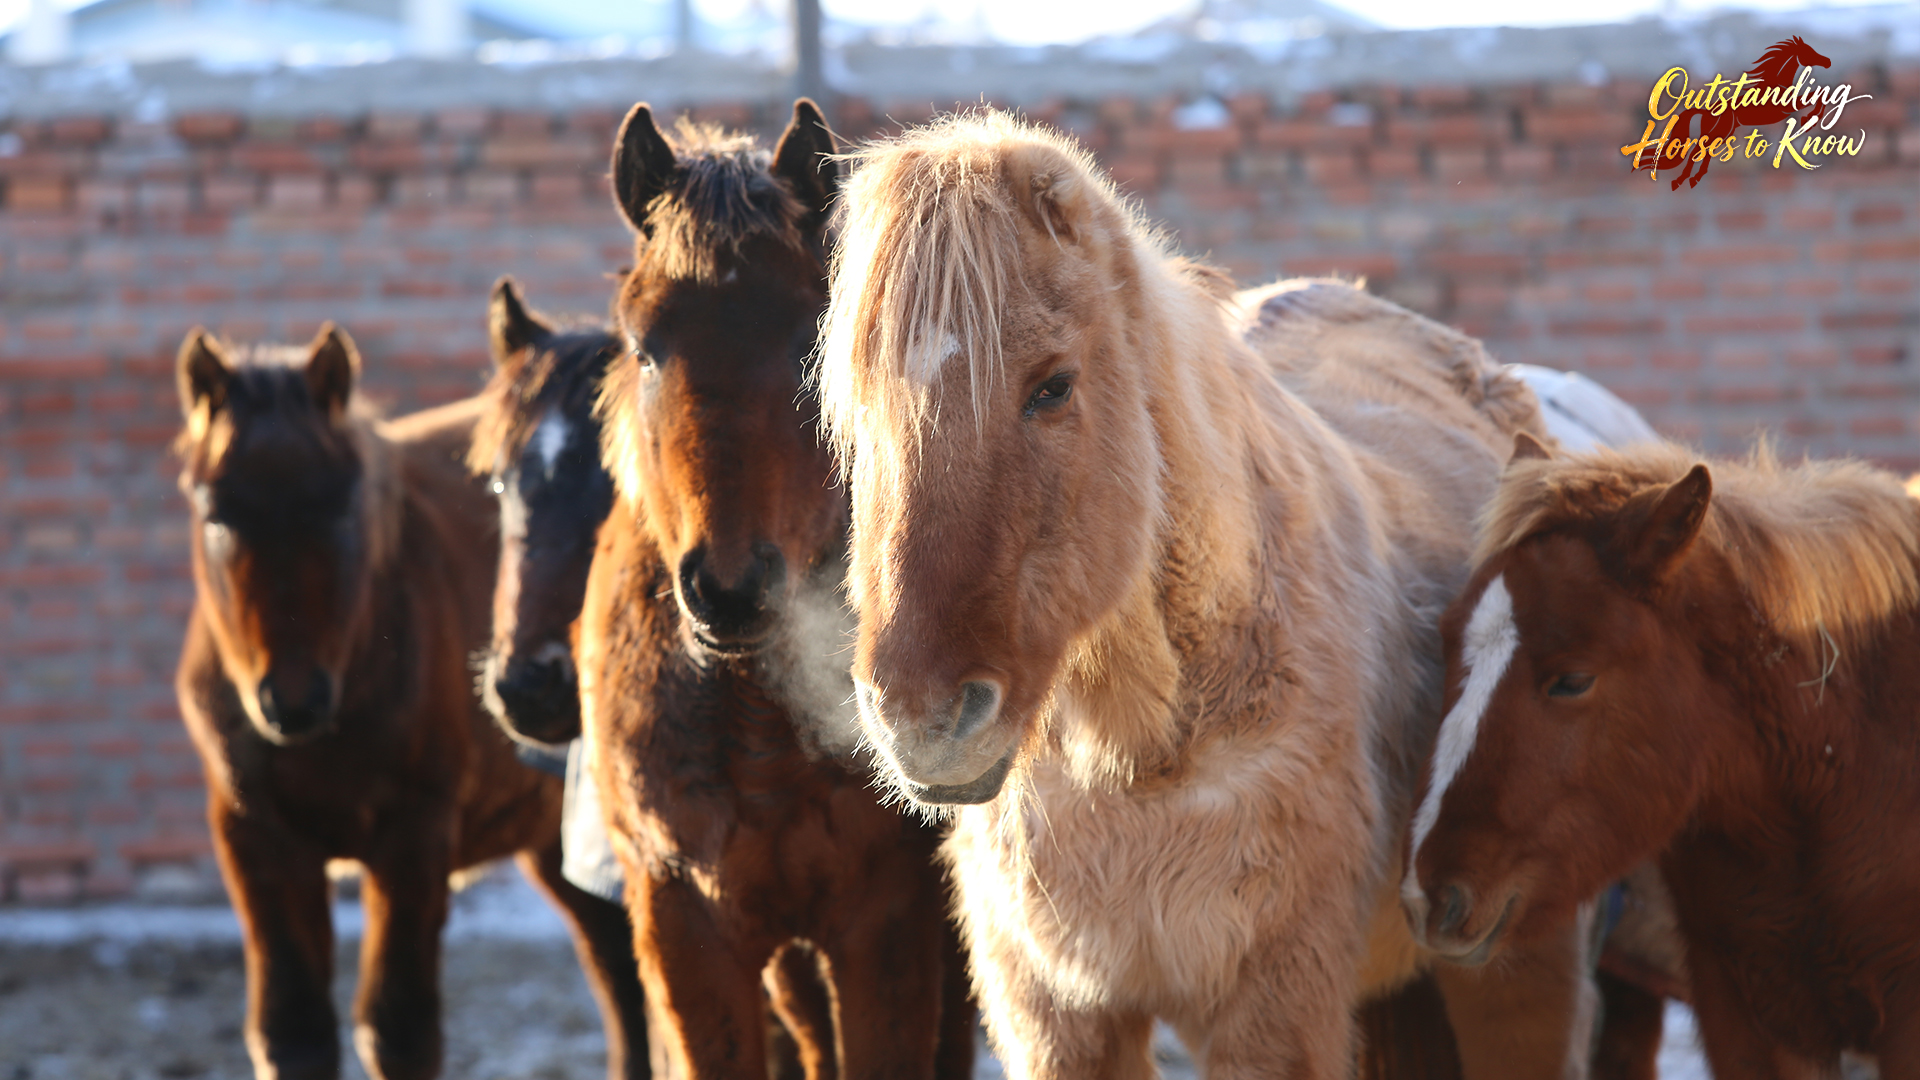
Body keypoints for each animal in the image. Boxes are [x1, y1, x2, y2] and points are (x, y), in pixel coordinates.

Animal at [172, 325, 650, 1080]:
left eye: (342, 507)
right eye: (216, 513)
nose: (293, 700)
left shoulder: (413, 836)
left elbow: (397, 1032)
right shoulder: (253, 835)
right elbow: (293, 1034)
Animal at [816, 109, 1603, 1079]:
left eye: (1051, 386)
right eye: (856, 408)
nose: (920, 719)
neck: (1137, 759)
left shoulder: (1273, 1013)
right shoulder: (1057, 1018)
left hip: (1520, 971)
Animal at [1629, 35, 1831, 190]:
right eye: (1808, 51)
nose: (1827, 62)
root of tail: (1706, 110)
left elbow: (1817, 95)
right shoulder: (1787, 106)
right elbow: (1816, 96)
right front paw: (1809, 117)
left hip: (1721, 133)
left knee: (1704, 152)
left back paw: (1693, 179)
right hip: (1718, 132)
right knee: (1697, 151)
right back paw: (1682, 180)